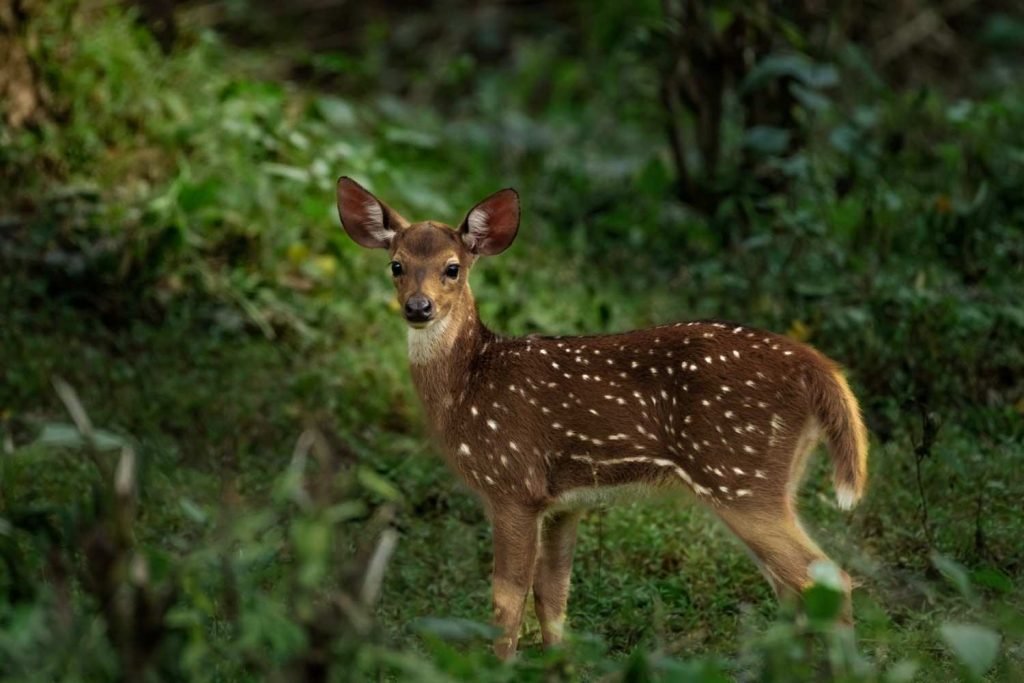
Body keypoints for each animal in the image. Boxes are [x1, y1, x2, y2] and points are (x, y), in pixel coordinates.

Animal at [336, 177, 869, 659]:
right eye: (397, 265)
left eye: (453, 268)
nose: (418, 307)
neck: (469, 386)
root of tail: (818, 368)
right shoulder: (563, 502)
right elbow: (553, 597)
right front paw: (560, 666)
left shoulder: (513, 484)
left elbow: (506, 603)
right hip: (771, 477)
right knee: (796, 587)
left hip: (737, 473)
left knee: (829, 579)